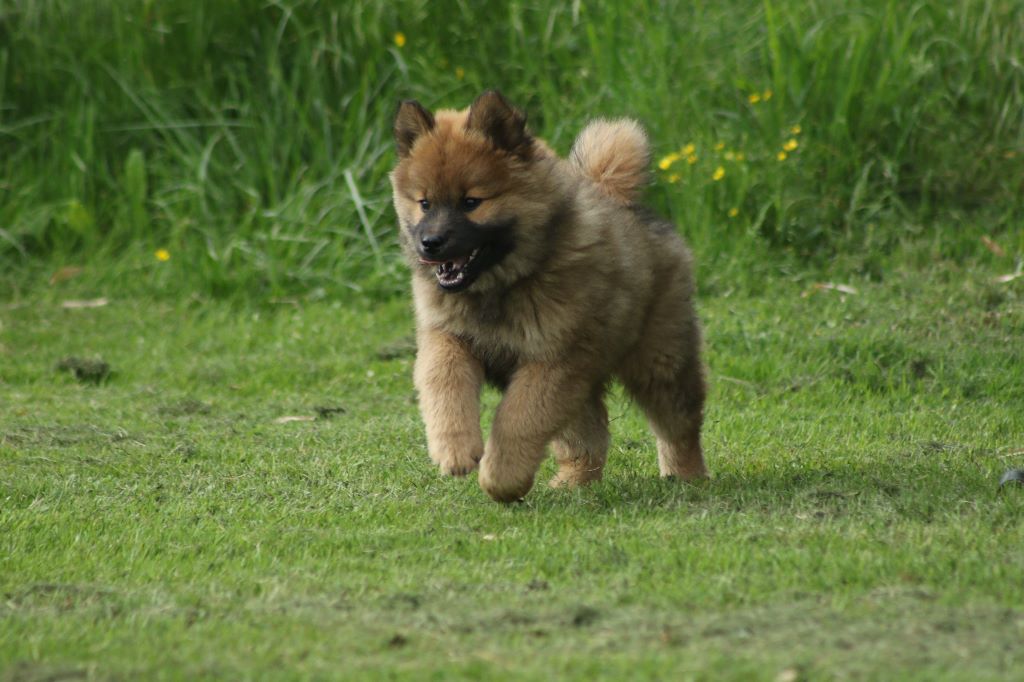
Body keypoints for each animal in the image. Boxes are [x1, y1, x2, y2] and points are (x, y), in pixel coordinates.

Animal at [387, 91, 708, 499]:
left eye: (471, 202)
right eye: (425, 203)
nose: (430, 243)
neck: (501, 286)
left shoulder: (552, 359)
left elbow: (517, 420)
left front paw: (501, 479)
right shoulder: (449, 337)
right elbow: (445, 387)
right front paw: (455, 451)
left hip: (659, 362)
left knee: (678, 426)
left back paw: (687, 475)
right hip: (584, 381)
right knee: (587, 437)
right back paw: (573, 483)